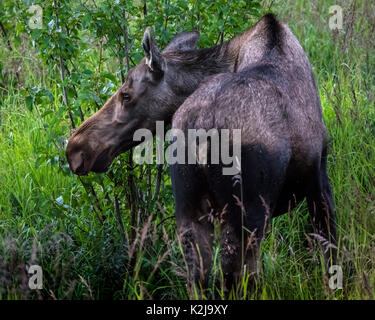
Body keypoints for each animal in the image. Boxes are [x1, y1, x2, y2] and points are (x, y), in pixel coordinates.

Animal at [66, 14, 340, 296]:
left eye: (126, 95)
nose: (76, 149)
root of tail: (202, 128)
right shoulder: (319, 176)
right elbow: (331, 253)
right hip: (246, 211)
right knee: (233, 278)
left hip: (191, 208)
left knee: (197, 276)